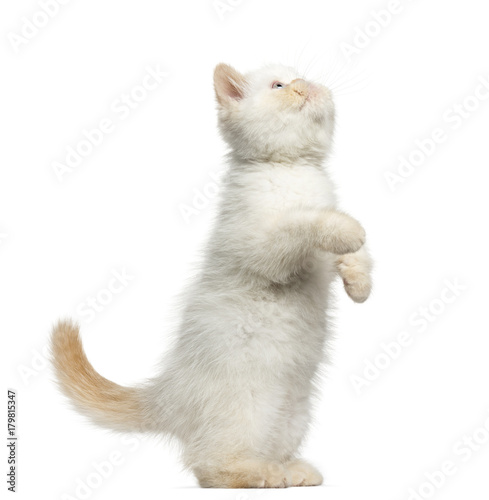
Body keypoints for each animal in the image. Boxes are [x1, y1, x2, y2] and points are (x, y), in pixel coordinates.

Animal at [51, 62, 372, 488]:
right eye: (279, 85)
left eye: (299, 76)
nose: (306, 85)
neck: (293, 169)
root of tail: (169, 394)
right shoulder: (260, 243)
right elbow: (305, 224)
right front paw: (346, 230)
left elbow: (356, 256)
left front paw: (359, 282)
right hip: (246, 407)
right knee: (209, 464)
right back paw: (259, 474)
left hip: (294, 412)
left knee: (265, 447)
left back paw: (293, 470)